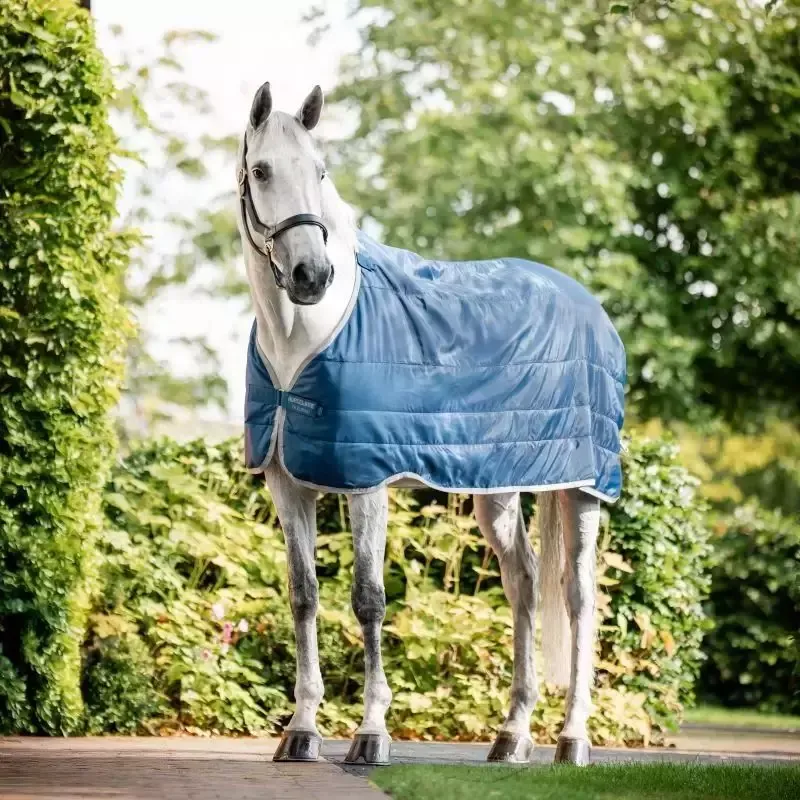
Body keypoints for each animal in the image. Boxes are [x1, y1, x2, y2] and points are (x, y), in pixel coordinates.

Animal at [236, 81, 625, 767]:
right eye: (261, 171)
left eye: (320, 171)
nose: (312, 275)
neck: (303, 340)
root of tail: (589, 305)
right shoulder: (286, 480)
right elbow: (304, 595)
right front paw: (301, 732)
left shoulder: (365, 482)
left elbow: (368, 599)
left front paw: (371, 735)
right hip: (498, 490)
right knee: (524, 582)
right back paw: (511, 737)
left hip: (581, 489)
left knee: (578, 597)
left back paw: (572, 740)